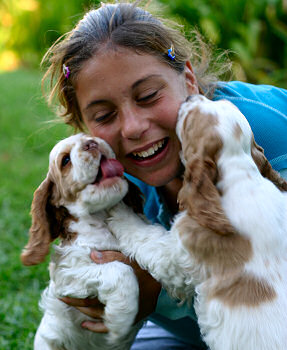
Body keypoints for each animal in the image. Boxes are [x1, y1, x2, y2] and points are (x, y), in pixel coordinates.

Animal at [21, 134, 144, 350]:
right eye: (65, 160)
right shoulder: (68, 272)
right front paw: (120, 319)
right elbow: (120, 269)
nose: (91, 144)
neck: (99, 218)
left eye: (92, 137)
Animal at [107, 95, 287, 350]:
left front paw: (119, 211)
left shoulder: (179, 251)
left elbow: (146, 238)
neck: (240, 176)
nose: (191, 97)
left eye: (189, 119)